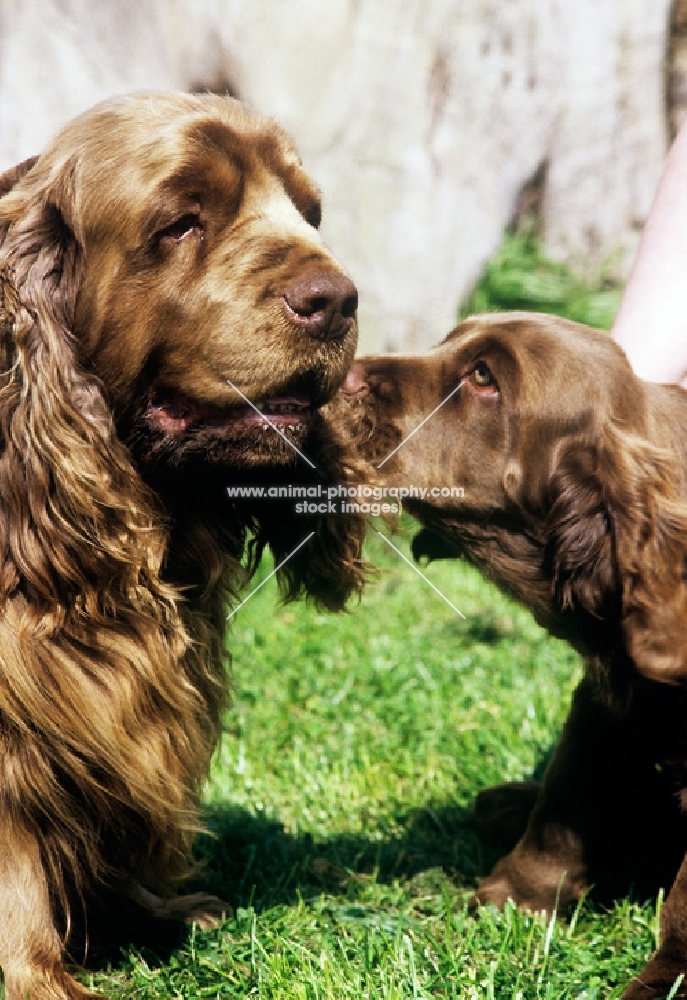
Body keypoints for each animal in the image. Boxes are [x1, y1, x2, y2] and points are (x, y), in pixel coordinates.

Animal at [346, 312, 687, 1000]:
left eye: (484, 377)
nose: (339, 376)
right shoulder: (609, 695)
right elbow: (568, 788)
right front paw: (521, 895)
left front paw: (667, 980)